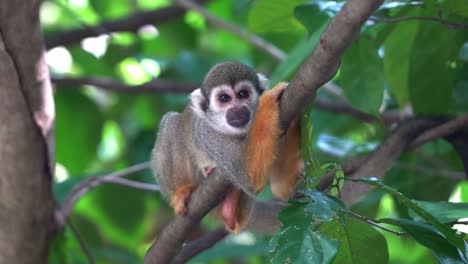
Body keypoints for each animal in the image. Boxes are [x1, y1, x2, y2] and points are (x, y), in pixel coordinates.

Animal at [151, 60, 304, 232]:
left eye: (243, 94)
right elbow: (247, 176)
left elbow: (282, 189)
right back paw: (181, 192)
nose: (237, 108)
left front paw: (295, 119)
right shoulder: (208, 134)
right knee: (170, 122)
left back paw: (230, 210)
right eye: (224, 98)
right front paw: (268, 99)